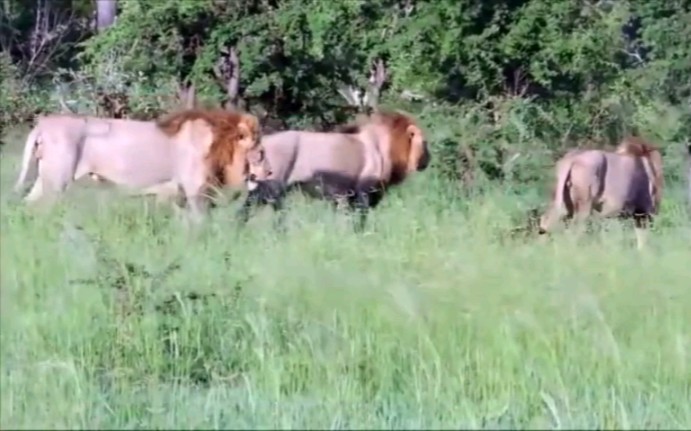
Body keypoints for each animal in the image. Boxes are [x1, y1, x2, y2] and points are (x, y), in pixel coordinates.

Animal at [14, 108, 270, 223]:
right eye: (260, 152)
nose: (269, 172)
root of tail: (44, 124)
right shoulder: (196, 190)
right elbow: (200, 223)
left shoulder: (173, 193)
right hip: (57, 182)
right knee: (42, 209)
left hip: (45, 179)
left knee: (27, 205)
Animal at [239, 111, 432, 233]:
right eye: (425, 142)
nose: (428, 160)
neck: (386, 148)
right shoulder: (364, 192)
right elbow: (360, 221)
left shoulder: (348, 196)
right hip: (273, 190)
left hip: (260, 190)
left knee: (244, 211)